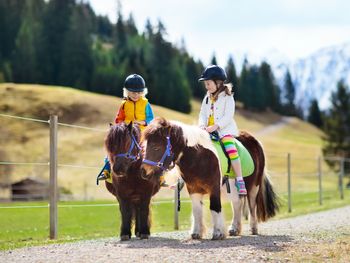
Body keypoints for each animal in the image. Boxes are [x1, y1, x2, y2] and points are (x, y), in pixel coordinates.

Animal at [139, 118, 278, 240]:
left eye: (156, 147)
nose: (143, 172)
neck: (199, 157)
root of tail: (254, 140)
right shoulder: (193, 188)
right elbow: (197, 210)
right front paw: (196, 233)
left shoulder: (214, 187)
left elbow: (215, 207)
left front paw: (218, 233)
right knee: (237, 203)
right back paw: (235, 228)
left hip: (254, 186)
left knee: (252, 205)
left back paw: (253, 228)